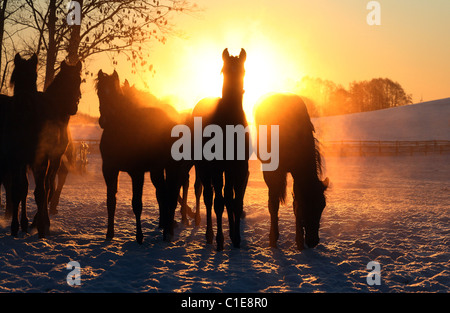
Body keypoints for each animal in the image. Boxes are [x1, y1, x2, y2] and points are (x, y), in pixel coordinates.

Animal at [96, 69, 185, 243]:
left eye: (116, 92)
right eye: (99, 92)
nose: (104, 120)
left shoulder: (137, 173)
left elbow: (137, 204)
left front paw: (139, 236)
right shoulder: (109, 170)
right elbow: (111, 201)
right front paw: (109, 233)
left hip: (172, 167)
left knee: (171, 195)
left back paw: (168, 231)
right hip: (156, 171)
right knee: (162, 193)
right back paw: (164, 225)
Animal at [191, 47, 250, 250]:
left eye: (243, 71)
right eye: (223, 71)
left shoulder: (239, 168)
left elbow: (235, 202)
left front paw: (236, 237)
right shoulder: (216, 169)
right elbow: (218, 202)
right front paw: (220, 240)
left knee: (226, 197)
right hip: (203, 168)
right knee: (208, 197)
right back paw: (210, 235)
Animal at [255, 92, 328, 249]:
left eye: (322, 206)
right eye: (307, 206)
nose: (313, 241)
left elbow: (295, 202)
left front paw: (299, 241)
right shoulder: (272, 172)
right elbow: (273, 204)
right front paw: (273, 238)